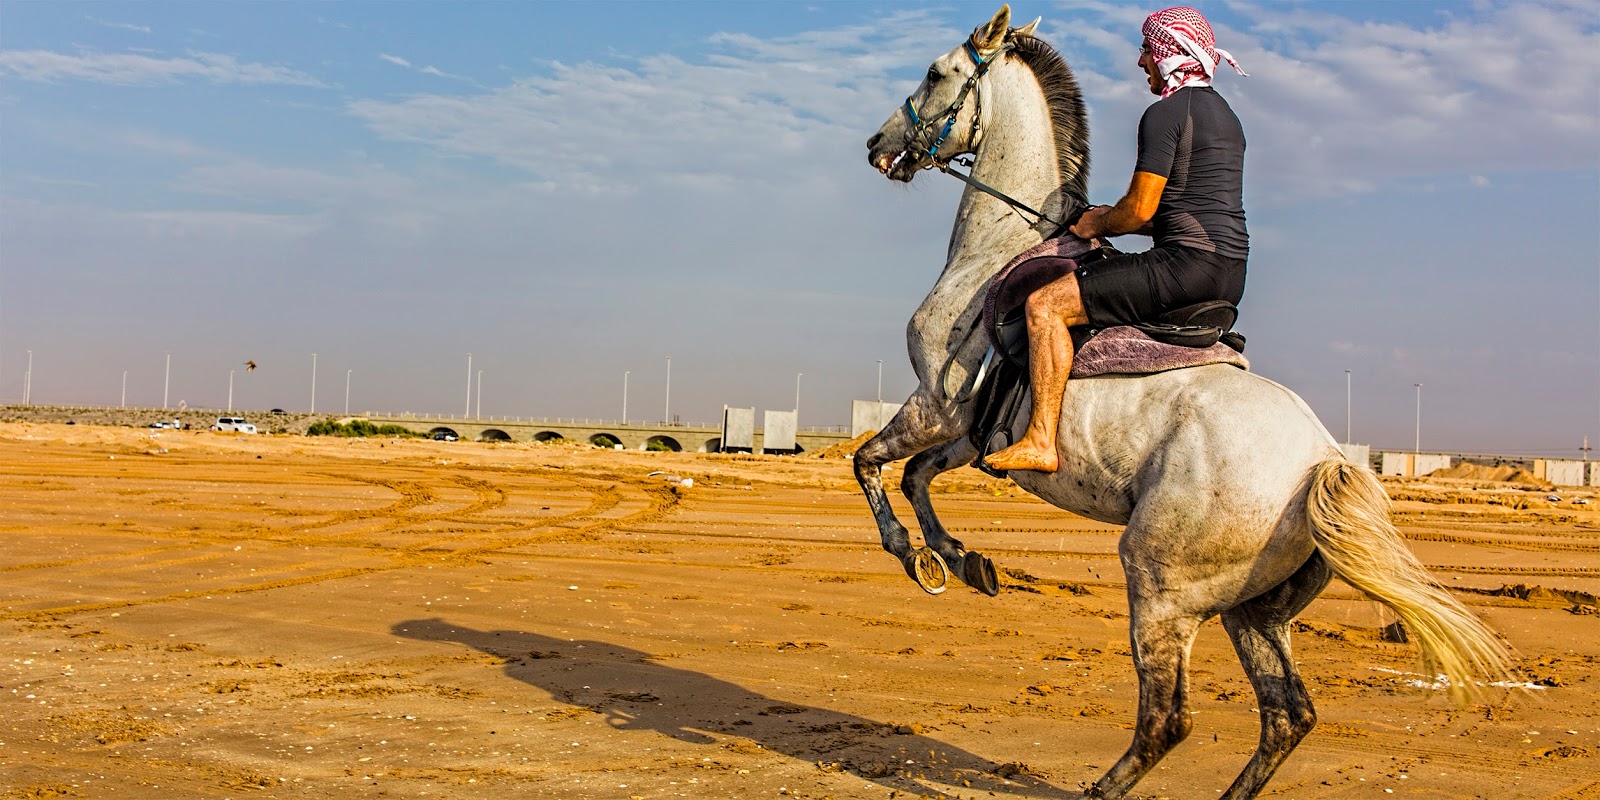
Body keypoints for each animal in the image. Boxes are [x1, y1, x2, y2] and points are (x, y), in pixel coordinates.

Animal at [856, 6, 1513, 798]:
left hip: (1161, 584)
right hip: (1255, 612)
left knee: (1168, 718)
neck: (997, 251)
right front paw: (958, 561)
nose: (877, 147)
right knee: (1287, 713)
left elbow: (870, 465)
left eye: (934, 72)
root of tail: (1322, 461)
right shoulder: (969, 430)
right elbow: (917, 476)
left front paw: (914, 556)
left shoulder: (938, 405)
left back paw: (1104, 786)